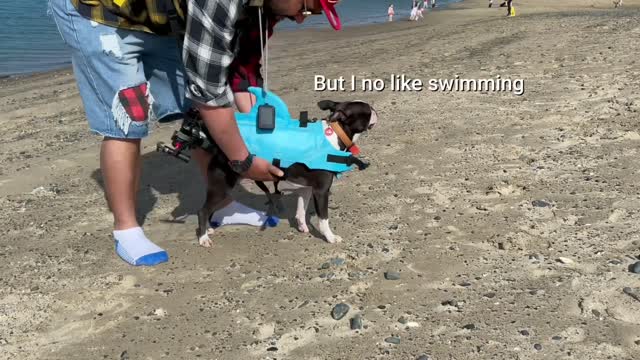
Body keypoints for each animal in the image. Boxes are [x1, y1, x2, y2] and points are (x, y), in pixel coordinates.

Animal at [198, 99, 378, 248]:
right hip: (221, 187)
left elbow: (301, 211)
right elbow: (323, 219)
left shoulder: (306, 188)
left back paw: (209, 229)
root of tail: (218, 148)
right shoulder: (321, 191)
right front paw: (330, 237)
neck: (336, 134)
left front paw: (302, 226)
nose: (376, 111)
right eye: (368, 111)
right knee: (203, 210)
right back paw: (203, 237)